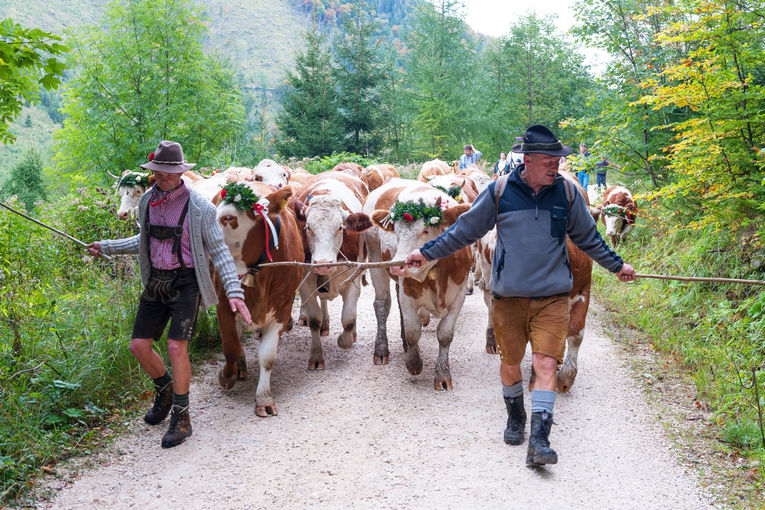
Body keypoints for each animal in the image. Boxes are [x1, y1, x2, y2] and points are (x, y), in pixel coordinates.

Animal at [212, 181, 304, 416]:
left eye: (228, 218)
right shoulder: (223, 303)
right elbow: (230, 346)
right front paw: (227, 376)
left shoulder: (283, 306)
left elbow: (268, 356)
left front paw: (264, 398)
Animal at [290, 172, 372, 370]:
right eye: (308, 227)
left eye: (340, 227)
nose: (323, 263)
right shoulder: (306, 281)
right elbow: (314, 318)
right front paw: (316, 356)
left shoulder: (353, 278)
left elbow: (348, 317)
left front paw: (345, 339)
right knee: (323, 301)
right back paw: (325, 325)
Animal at [366, 179, 472, 390]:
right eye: (396, 231)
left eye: (426, 230)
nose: (398, 265)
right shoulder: (407, 290)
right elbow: (413, 330)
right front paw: (414, 364)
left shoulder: (459, 291)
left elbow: (445, 334)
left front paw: (443, 375)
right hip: (376, 263)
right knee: (382, 305)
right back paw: (381, 350)